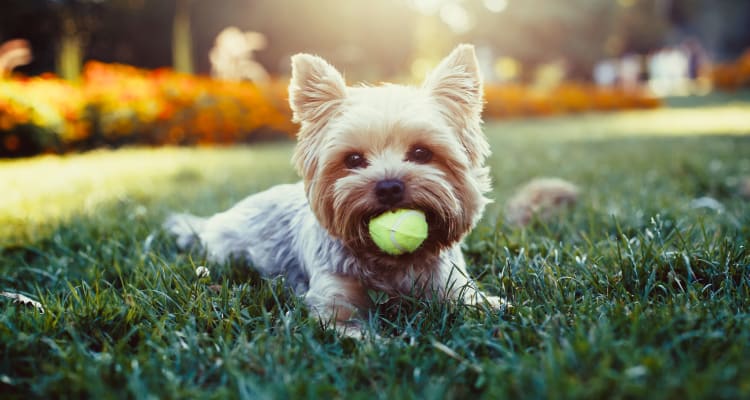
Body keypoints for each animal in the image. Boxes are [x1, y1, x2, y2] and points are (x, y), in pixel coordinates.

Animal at [164, 44, 506, 338]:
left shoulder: (450, 283)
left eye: (422, 153)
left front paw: (493, 306)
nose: (389, 186)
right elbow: (352, 330)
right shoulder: (334, 301)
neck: (391, 263)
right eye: (353, 159)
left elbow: (477, 302)